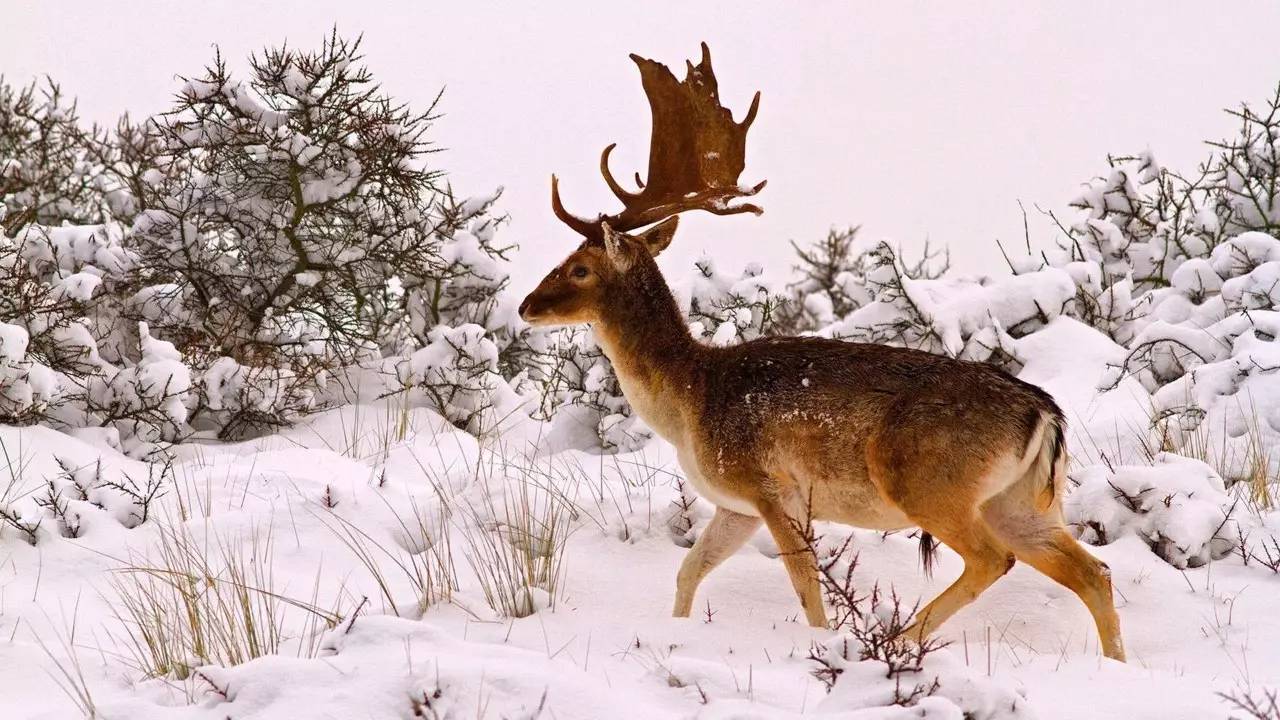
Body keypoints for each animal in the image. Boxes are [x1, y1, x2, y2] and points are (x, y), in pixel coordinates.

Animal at [514, 44, 1126, 661]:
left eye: (579, 267)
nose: (526, 305)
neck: (689, 401)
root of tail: (1045, 414)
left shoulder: (768, 486)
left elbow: (805, 584)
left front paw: (822, 643)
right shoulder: (734, 504)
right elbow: (689, 570)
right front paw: (678, 633)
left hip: (931, 484)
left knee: (994, 559)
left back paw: (898, 640)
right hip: (1022, 502)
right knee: (1093, 571)